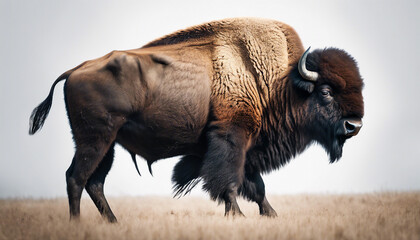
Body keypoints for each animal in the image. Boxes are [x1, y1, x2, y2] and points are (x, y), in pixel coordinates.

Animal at [30, 17, 364, 222]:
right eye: (326, 91)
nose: (354, 126)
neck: (280, 83)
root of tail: (75, 70)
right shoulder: (232, 137)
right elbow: (229, 180)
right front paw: (237, 215)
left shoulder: (248, 147)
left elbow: (255, 185)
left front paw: (270, 215)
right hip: (95, 140)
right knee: (77, 177)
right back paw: (77, 224)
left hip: (109, 144)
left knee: (95, 182)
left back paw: (113, 223)